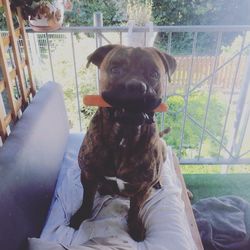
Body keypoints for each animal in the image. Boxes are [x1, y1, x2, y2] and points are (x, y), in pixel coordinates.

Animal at [69, 44, 177, 241]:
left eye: (154, 74)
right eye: (115, 69)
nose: (136, 86)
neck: (124, 135)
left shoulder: (142, 188)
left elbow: (135, 208)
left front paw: (135, 225)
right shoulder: (87, 174)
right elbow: (87, 198)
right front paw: (81, 215)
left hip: (163, 150)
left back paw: (158, 183)